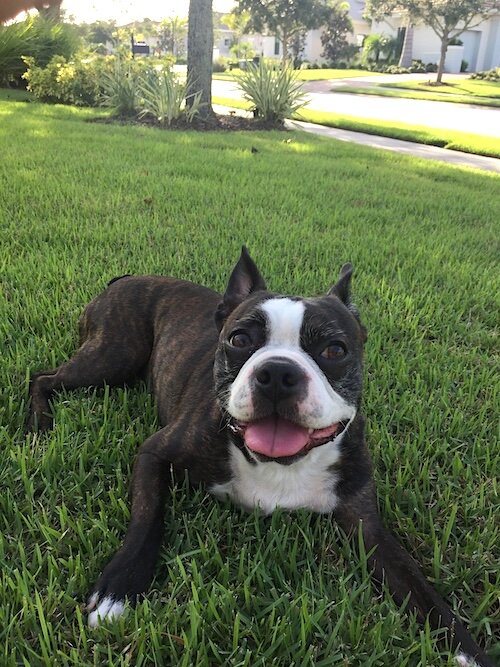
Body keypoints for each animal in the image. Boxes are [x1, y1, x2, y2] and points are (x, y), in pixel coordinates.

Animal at [27, 248, 492, 664]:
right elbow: (147, 518)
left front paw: (470, 653)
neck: (280, 466)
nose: (279, 373)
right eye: (239, 340)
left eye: (335, 350)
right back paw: (38, 424)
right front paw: (118, 589)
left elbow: (426, 595)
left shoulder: (367, 528)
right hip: (113, 356)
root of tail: (126, 278)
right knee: (42, 377)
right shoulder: (154, 454)